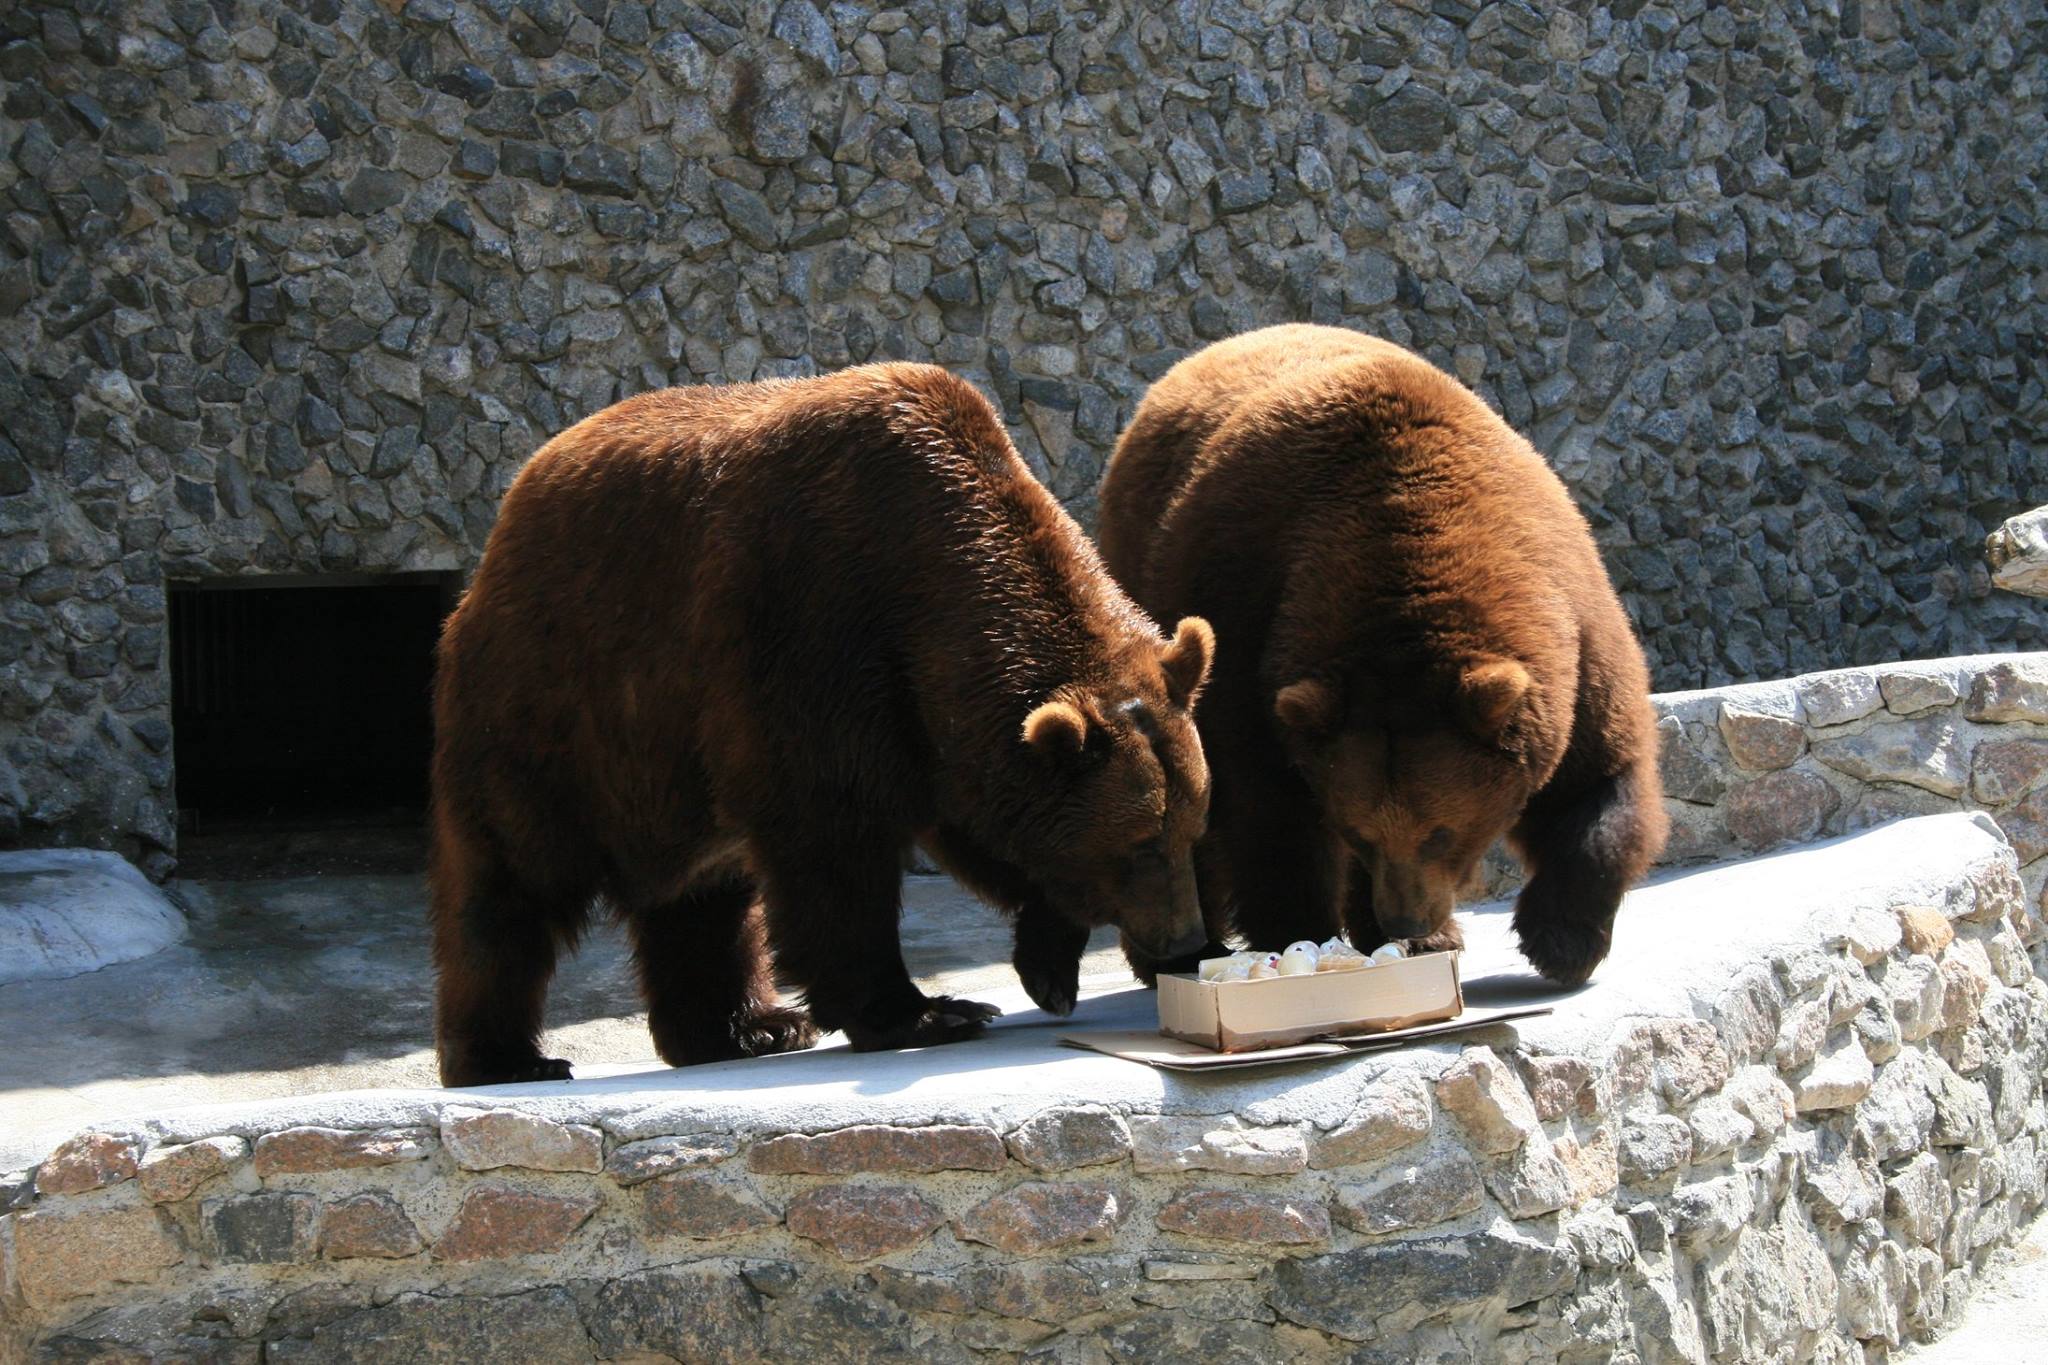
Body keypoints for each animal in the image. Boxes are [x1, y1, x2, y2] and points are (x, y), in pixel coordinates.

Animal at [423, 366, 1204, 1088]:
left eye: (1190, 827)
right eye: (1139, 841)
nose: (1187, 943)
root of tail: (503, 527)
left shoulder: (930, 721)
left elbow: (992, 829)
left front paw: (1048, 964)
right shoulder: (813, 633)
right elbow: (833, 842)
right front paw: (926, 1011)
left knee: (704, 898)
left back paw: (746, 1029)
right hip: (554, 709)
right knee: (512, 881)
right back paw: (505, 1057)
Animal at [1105, 325, 1662, 986]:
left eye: (1442, 833)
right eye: (1362, 833)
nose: (1406, 918)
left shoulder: (1572, 635)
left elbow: (1595, 780)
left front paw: (1561, 941)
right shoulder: (1250, 628)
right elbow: (1270, 816)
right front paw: (1304, 932)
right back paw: (1183, 951)